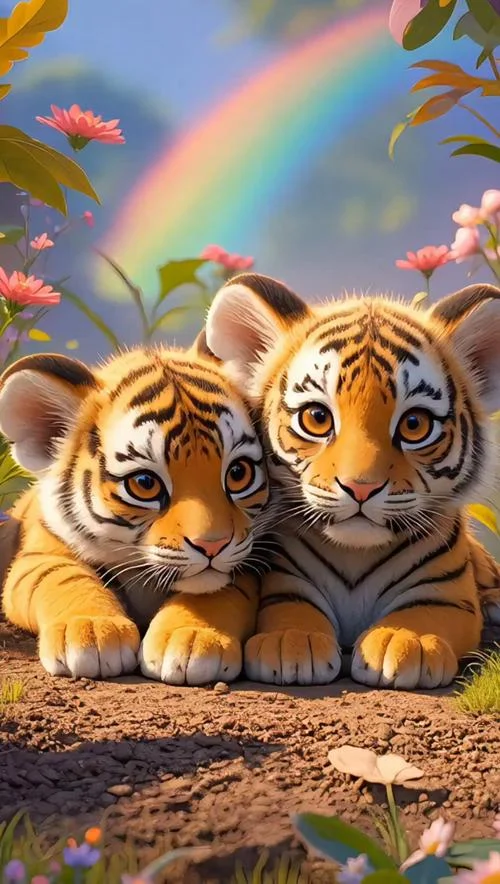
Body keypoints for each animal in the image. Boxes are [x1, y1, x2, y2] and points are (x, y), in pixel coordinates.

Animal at [0, 338, 272, 685]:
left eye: (238, 473)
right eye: (145, 483)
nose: (212, 545)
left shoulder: (250, 562)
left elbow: (219, 591)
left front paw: (191, 639)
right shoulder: (40, 553)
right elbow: (62, 578)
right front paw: (92, 632)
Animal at [203, 272, 500, 689]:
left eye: (414, 424)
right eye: (316, 418)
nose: (361, 487)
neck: (356, 556)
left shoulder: (447, 595)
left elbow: (423, 614)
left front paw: (406, 642)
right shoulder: (287, 581)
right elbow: (293, 610)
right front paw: (291, 642)